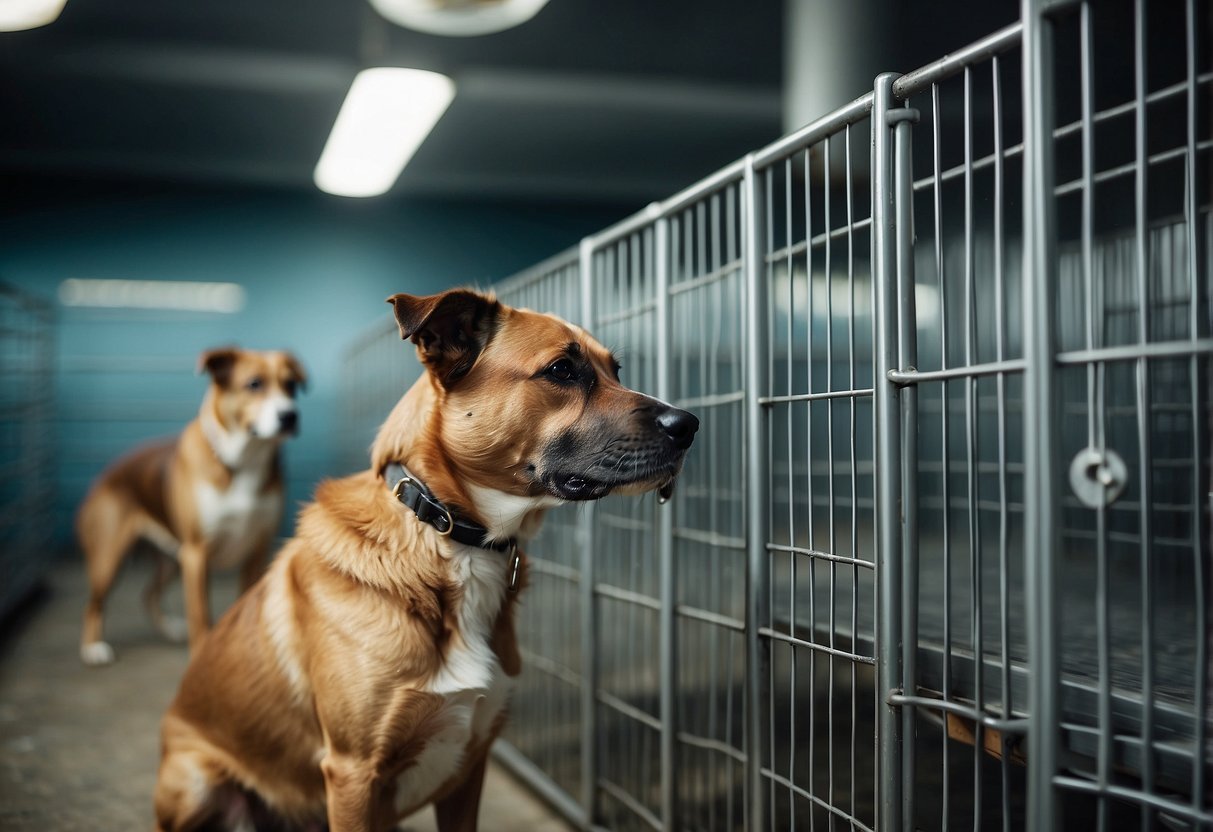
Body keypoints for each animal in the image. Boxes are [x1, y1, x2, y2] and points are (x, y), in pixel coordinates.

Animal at [76, 349, 305, 669]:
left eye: (291, 385)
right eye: (254, 384)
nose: (290, 415)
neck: (243, 462)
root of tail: (105, 475)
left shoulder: (256, 551)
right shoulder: (197, 555)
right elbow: (201, 616)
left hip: (172, 560)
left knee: (149, 594)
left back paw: (169, 629)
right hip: (111, 558)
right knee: (94, 603)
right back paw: (93, 647)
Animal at [152, 292, 703, 832]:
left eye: (617, 370)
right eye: (562, 370)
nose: (690, 424)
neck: (450, 537)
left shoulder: (470, 764)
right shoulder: (352, 772)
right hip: (196, 781)